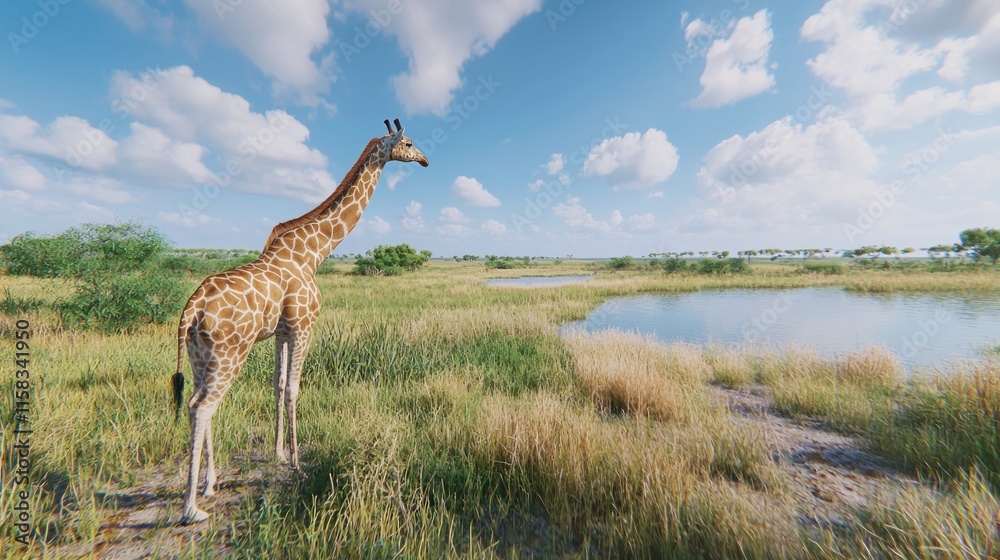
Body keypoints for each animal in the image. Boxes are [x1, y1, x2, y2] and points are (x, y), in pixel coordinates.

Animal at [170, 118, 428, 524]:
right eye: (408, 142)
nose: (425, 160)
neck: (314, 253)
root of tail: (191, 309)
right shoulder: (305, 326)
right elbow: (293, 388)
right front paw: (295, 462)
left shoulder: (282, 332)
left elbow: (277, 386)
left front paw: (278, 454)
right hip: (230, 354)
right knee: (202, 407)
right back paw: (191, 508)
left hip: (200, 357)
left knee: (197, 402)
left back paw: (210, 484)